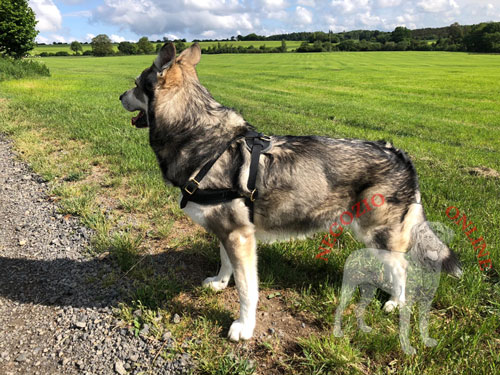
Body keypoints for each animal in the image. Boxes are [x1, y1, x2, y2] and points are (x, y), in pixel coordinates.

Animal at [119, 42, 462, 342]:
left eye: (135, 84)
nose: (119, 95)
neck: (201, 138)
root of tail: (399, 152)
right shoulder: (228, 232)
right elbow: (225, 264)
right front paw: (218, 283)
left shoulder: (240, 237)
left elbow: (247, 291)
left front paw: (244, 327)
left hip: (377, 235)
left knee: (402, 269)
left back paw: (395, 303)